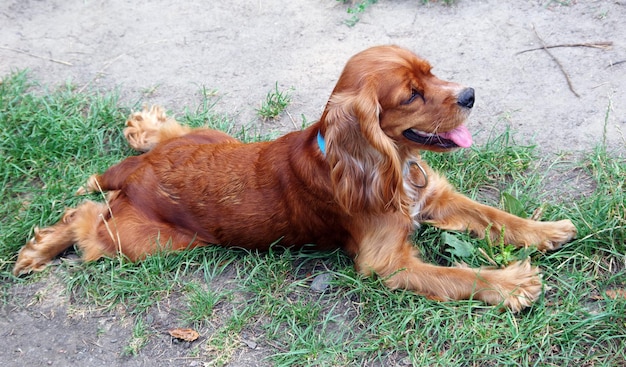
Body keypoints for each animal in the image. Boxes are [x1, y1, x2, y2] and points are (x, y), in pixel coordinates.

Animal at [13, 44, 576, 312]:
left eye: (433, 72)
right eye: (411, 94)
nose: (470, 94)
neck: (390, 161)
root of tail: (137, 172)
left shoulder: (434, 194)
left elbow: (494, 214)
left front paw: (547, 231)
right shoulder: (386, 265)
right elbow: (458, 276)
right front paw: (512, 283)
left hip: (210, 139)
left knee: (171, 138)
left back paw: (147, 126)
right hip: (145, 242)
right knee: (86, 219)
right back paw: (40, 247)